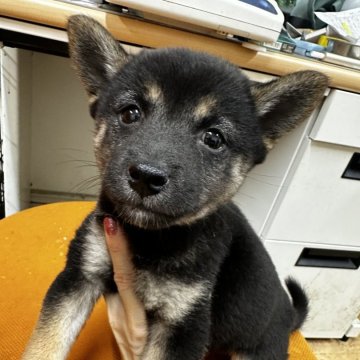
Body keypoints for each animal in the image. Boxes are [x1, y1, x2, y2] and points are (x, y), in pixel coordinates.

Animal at [21, 15, 326, 360]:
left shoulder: (183, 322)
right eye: (130, 113)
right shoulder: (79, 275)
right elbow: (44, 344)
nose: (146, 176)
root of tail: (288, 317)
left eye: (214, 138)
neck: (149, 239)